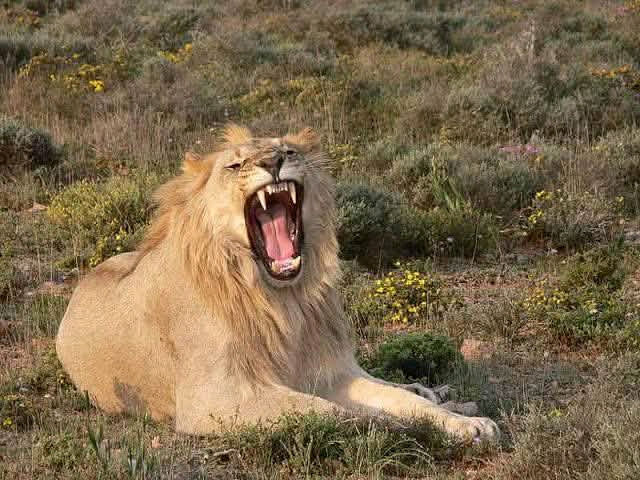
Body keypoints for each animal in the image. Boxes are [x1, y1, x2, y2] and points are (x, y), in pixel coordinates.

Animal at [56, 125, 499, 441]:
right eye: (234, 166)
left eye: (289, 151)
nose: (273, 162)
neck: (283, 300)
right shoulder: (214, 397)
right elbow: (330, 410)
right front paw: (403, 428)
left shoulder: (328, 373)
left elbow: (396, 399)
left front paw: (464, 423)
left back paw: (442, 395)